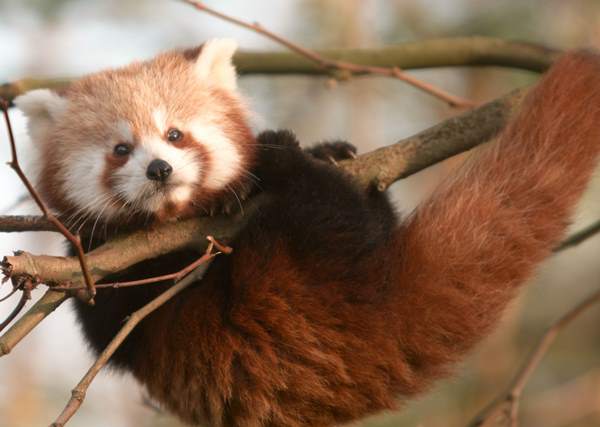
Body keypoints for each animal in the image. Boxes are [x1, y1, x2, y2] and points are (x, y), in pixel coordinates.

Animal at [10, 39, 600, 424]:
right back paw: (290, 160)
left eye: (174, 134)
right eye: (120, 149)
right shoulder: (98, 276)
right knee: (328, 212)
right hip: (304, 269)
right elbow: (120, 307)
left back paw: (321, 155)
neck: (175, 219)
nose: (159, 170)